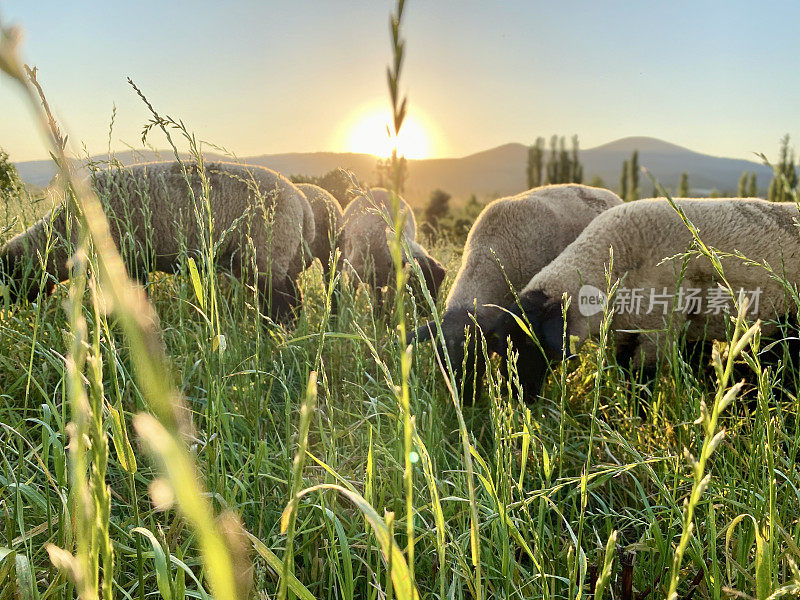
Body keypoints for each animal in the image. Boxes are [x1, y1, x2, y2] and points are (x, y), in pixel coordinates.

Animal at [488, 197, 800, 400]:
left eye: (533, 343)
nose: (515, 397)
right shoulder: (626, 331)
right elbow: (626, 371)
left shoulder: (658, 330)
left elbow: (641, 381)